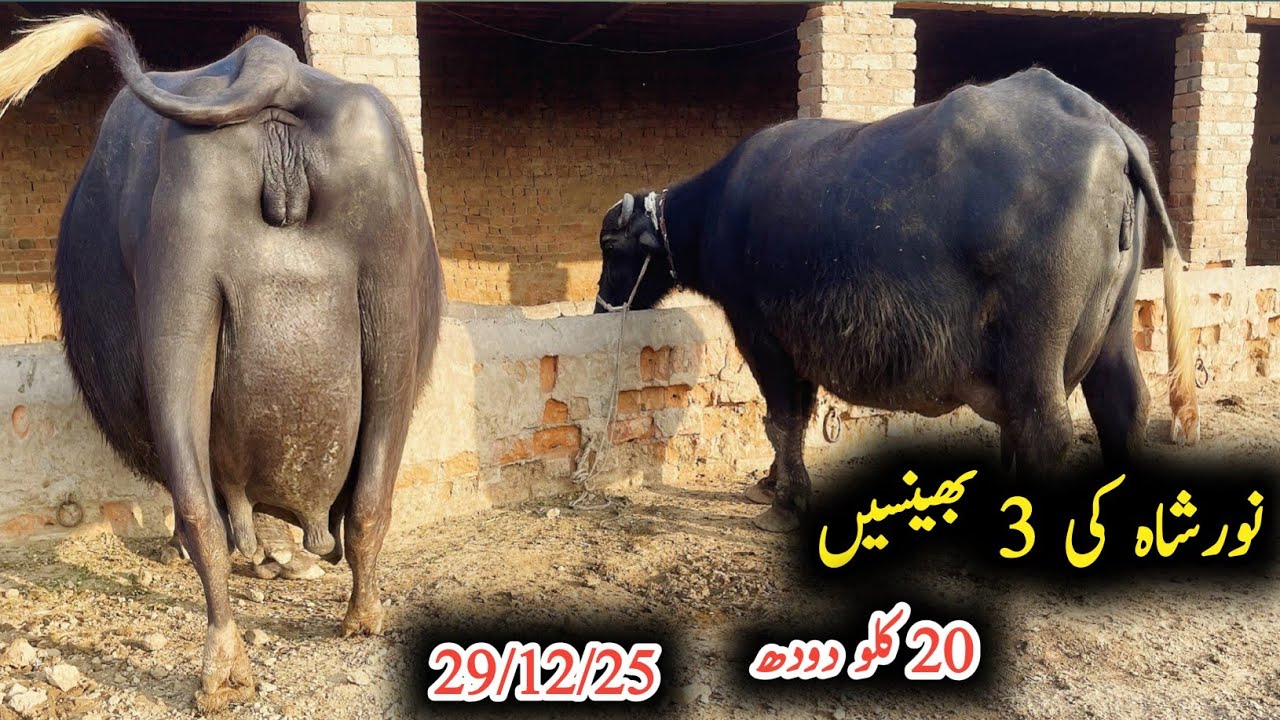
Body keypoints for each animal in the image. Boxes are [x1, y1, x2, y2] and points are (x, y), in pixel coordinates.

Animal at [0, 15, 442, 710]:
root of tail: (271, 63)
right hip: (388, 293)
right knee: (371, 495)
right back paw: (356, 620)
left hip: (179, 291)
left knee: (199, 505)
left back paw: (225, 665)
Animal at [595, 68, 1199, 533]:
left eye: (609, 246)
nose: (603, 306)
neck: (718, 213)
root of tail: (1108, 127)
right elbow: (792, 418)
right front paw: (768, 484)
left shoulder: (761, 333)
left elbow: (782, 418)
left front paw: (786, 503)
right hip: (1113, 324)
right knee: (1122, 406)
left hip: (1035, 344)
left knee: (1044, 428)